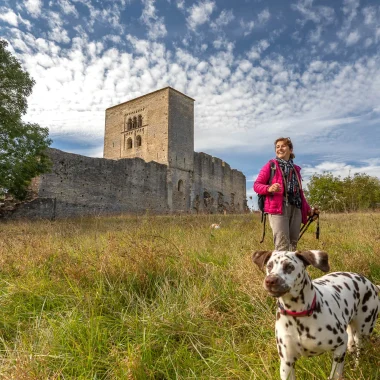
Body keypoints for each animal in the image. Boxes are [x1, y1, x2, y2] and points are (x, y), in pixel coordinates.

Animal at [252, 249, 380, 380]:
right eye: (269, 265)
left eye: (289, 266)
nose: (270, 280)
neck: (299, 316)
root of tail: (371, 284)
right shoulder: (287, 363)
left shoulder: (339, 347)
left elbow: (335, 374)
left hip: (363, 332)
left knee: (359, 350)